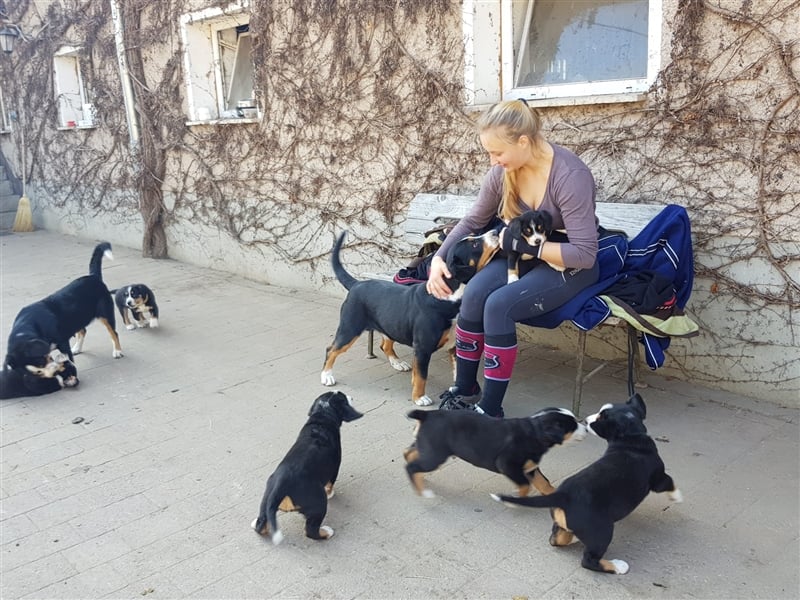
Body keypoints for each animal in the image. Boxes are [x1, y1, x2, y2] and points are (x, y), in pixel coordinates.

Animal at [250, 392, 362, 548]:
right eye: (344, 398)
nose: (351, 396)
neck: (322, 418)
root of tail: (282, 484)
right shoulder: (335, 466)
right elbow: (331, 482)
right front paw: (331, 493)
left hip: (266, 497)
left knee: (261, 524)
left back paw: (256, 523)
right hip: (319, 503)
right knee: (311, 531)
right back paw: (326, 532)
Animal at [320, 227, 496, 406]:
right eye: (474, 244)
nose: (496, 231)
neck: (450, 296)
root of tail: (357, 284)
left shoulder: (455, 345)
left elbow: (459, 372)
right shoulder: (422, 348)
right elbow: (421, 376)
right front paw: (419, 397)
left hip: (390, 325)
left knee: (385, 345)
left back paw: (398, 363)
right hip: (350, 328)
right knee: (331, 349)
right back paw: (327, 376)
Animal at [404, 406, 584, 500]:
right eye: (573, 426)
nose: (586, 427)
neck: (534, 431)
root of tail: (427, 414)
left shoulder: (531, 465)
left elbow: (543, 482)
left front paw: (554, 495)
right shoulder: (508, 465)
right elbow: (525, 485)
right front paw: (517, 497)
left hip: (427, 447)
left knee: (408, 453)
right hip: (435, 455)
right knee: (411, 466)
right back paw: (423, 492)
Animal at [494, 396, 680, 576]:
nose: (586, 420)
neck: (631, 437)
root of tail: (563, 495)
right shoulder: (658, 478)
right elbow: (670, 482)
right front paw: (677, 497)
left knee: (556, 540)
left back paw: (573, 537)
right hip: (602, 531)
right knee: (589, 560)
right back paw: (618, 566)